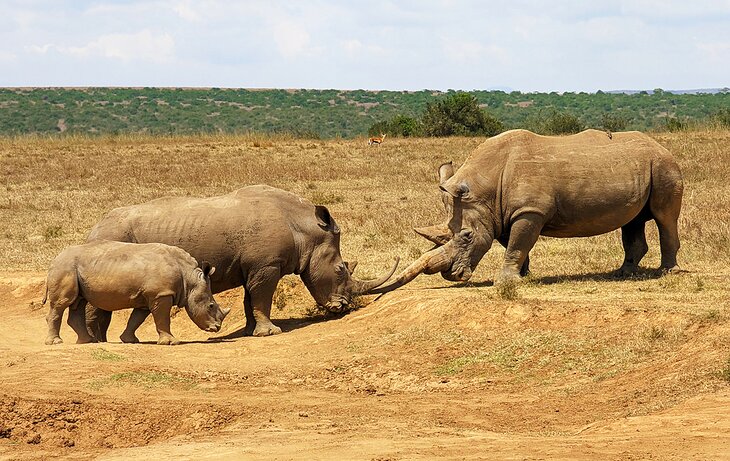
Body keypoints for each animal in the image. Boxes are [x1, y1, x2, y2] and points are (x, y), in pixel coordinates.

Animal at [42, 239, 228, 344]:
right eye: (211, 306)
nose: (217, 328)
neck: (189, 279)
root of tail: (54, 260)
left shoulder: (149, 296)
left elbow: (137, 319)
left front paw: (129, 340)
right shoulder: (161, 294)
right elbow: (162, 318)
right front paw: (171, 342)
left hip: (73, 269)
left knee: (78, 302)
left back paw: (87, 341)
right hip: (65, 267)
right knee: (62, 303)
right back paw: (56, 343)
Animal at [85, 183, 398, 338]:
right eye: (341, 269)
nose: (343, 308)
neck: (304, 228)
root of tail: (94, 228)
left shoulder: (255, 265)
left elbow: (251, 298)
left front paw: (250, 331)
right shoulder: (267, 265)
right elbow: (261, 297)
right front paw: (270, 333)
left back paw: (101, 340)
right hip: (112, 237)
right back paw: (92, 341)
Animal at [370, 127, 684, 292]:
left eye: (467, 237)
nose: (451, 276)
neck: (483, 187)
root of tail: (663, 147)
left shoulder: (529, 210)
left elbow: (518, 244)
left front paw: (503, 282)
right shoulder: (502, 213)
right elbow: (515, 244)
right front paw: (523, 276)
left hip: (664, 166)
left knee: (664, 218)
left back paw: (667, 272)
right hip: (641, 167)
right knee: (632, 221)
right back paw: (623, 274)